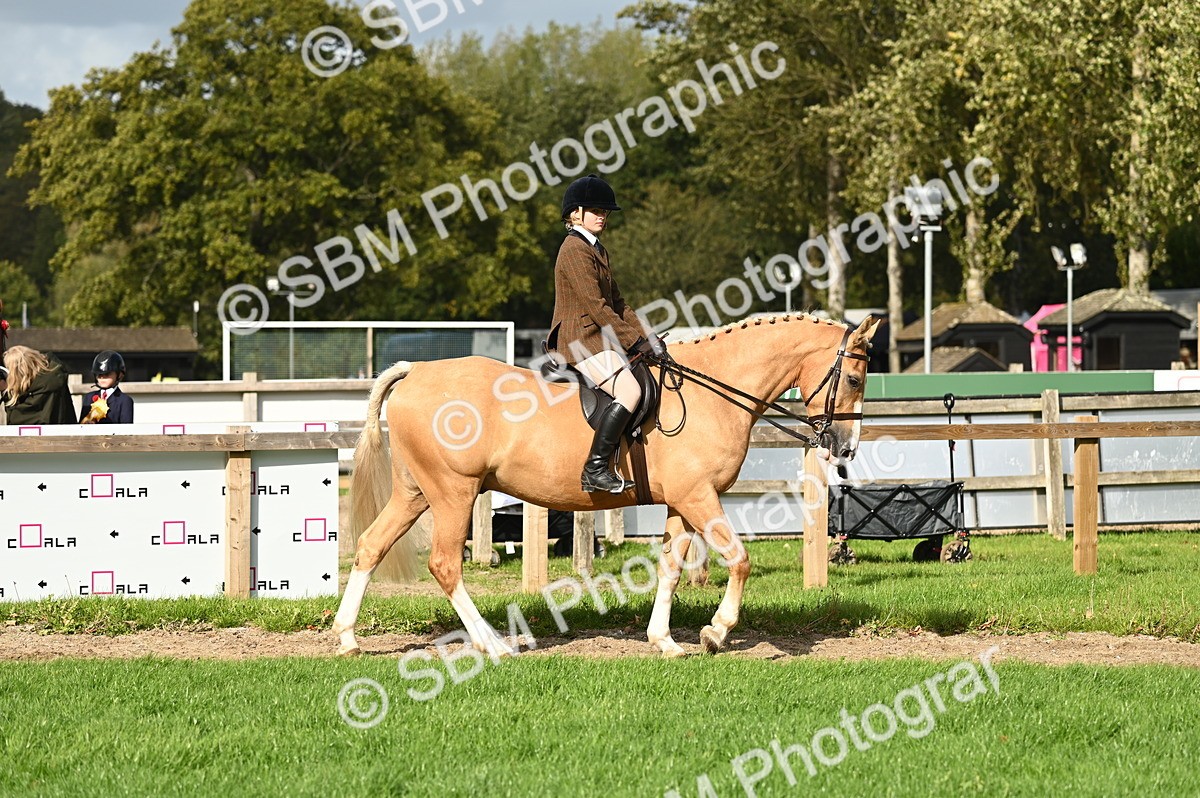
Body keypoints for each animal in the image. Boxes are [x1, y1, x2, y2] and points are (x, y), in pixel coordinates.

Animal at [332, 313, 880, 658]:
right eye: (855, 380)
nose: (847, 448)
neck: (713, 393)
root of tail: (417, 372)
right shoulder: (699, 497)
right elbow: (739, 559)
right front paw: (716, 632)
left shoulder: (682, 503)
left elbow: (670, 569)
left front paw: (665, 641)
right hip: (454, 494)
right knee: (445, 565)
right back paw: (494, 644)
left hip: (415, 494)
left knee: (371, 546)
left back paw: (347, 638)